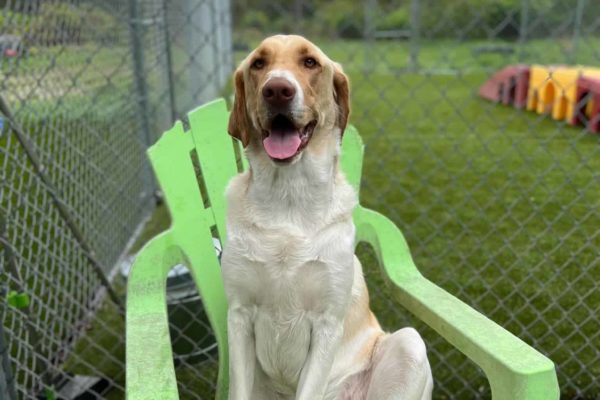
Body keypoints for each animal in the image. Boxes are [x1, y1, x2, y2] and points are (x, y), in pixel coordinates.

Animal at [220, 35, 432, 400]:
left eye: (310, 62)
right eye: (258, 64)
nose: (277, 90)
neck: (289, 200)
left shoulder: (326, 323)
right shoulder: (240, 315)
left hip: (410, 345)